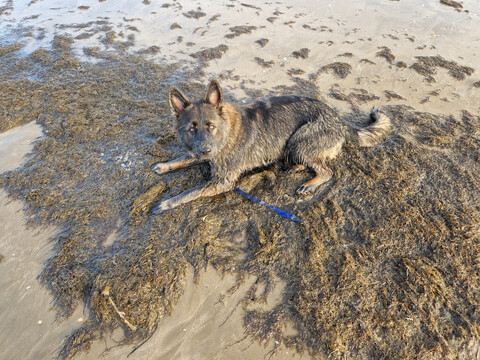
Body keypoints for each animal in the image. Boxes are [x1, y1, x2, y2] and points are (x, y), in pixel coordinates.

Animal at [152, 79, 392, 214]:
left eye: (211, 127)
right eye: (191, 129)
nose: (205, 150)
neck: (226, 132)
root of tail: (339, 120)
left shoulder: (222, 181)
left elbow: (189, 192)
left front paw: (167, 203)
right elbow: (184, 157)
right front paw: (165, 165)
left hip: (300, 139)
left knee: (326, 170)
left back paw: (310, 183)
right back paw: (295, 167)